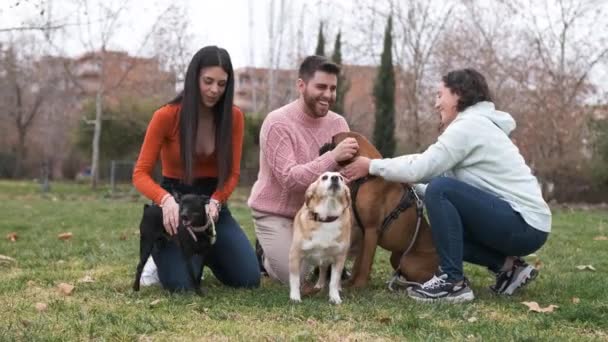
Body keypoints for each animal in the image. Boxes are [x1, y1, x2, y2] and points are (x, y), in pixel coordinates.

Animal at [288, 172, 352, 304]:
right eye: (324, 177)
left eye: (341, 178)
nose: (335, 178)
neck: (327, 217)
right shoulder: (295, 255)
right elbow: (295, 280)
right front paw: (295, 297)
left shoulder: (339, 258)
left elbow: (334, 281)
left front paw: (334, 297)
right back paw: (319, 285)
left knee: (324, 270)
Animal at [324, 132, 436, 288]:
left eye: (332, 141)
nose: (323, 145)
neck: (367, 177)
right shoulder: (363, 231)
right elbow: (359, 261)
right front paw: (351, 283)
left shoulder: (371, 230)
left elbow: (366, 262)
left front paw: (359, 286)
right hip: (396, 257)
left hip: (408, 261)